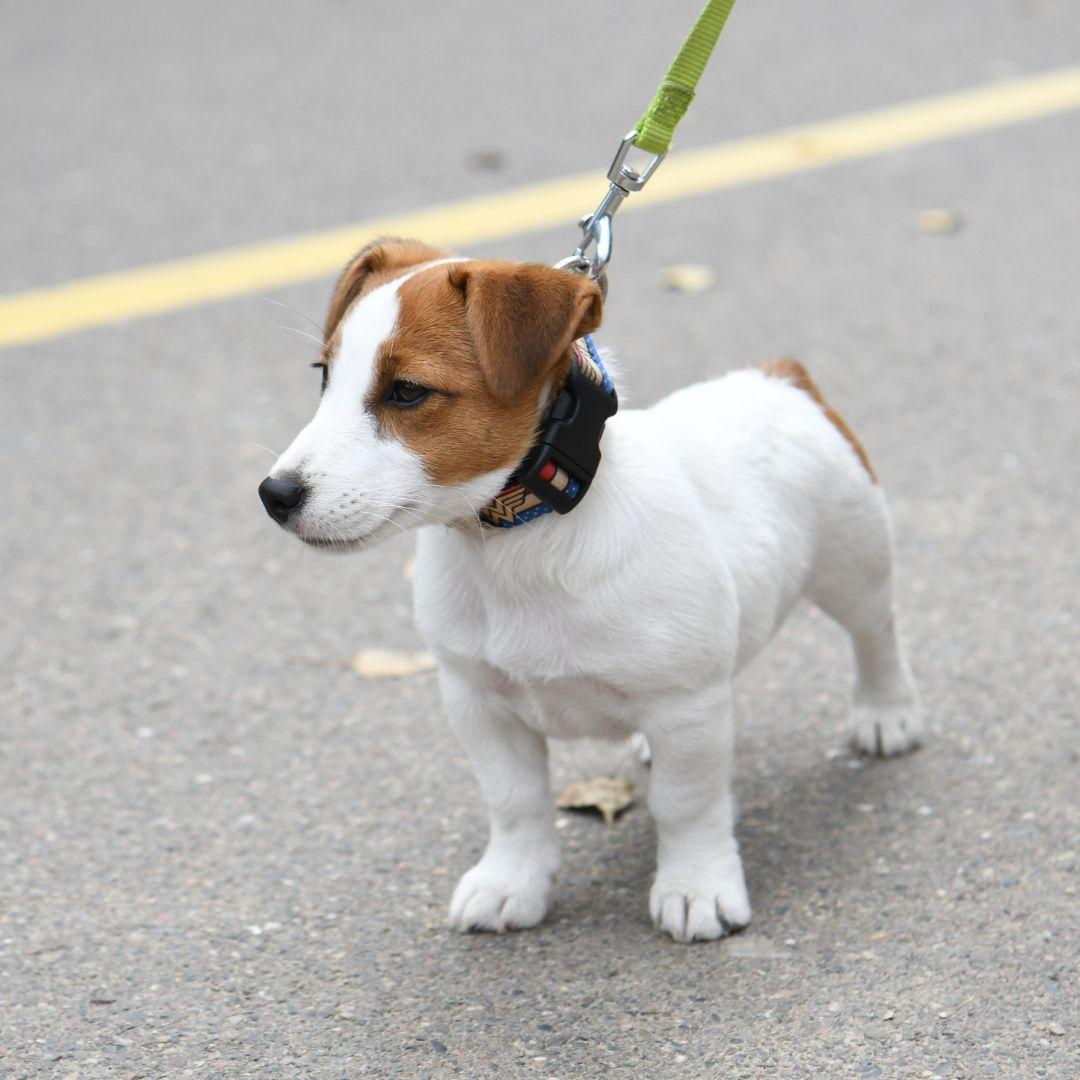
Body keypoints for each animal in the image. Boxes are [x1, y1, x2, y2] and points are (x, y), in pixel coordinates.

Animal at [259, 238, 920, 946]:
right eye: (323, 376)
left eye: (407, 392)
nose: (274, 495)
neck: (522, 539)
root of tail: (776, 377)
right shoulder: (477, 700)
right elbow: (514, 802)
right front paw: (512, 882)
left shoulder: (687, 705)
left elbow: (686, 805)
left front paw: (696, 886)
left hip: (854, 563)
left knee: (878, 632)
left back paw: (885, 713)